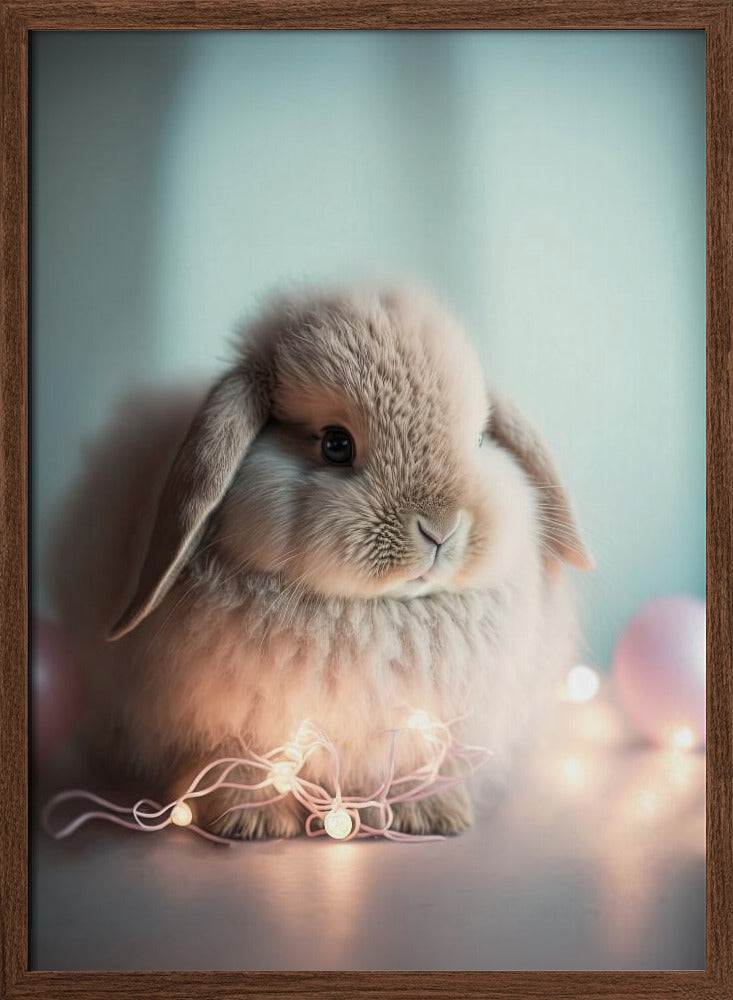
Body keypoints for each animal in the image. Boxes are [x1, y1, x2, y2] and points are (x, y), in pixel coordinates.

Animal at [47, 286, 593, 839]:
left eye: (480, 439)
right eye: (335, 444)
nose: (440, 529)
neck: (374, 613)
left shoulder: (420, 726)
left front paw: (430, 814)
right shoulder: (232, 724)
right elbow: (242, 761)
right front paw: (251, 822)